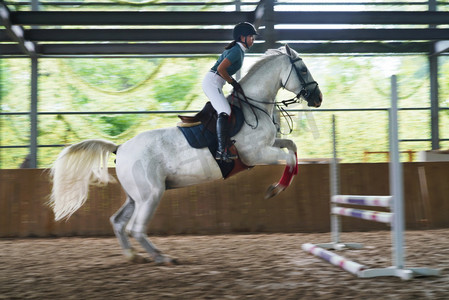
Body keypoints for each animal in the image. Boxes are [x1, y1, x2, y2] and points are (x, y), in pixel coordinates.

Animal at [49, 44, 322, 262]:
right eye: (303, 69)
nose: (318, 98)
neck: (253, 106)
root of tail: (121, 147)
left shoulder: (270, 144)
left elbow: (292, 147)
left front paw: (282, 183)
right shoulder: (256, 154)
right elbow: (288, 157)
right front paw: (276, 189)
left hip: (136, 195)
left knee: (118, 222)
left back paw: (133, 256)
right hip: (151, 194)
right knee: (135, 228)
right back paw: (162, 257)